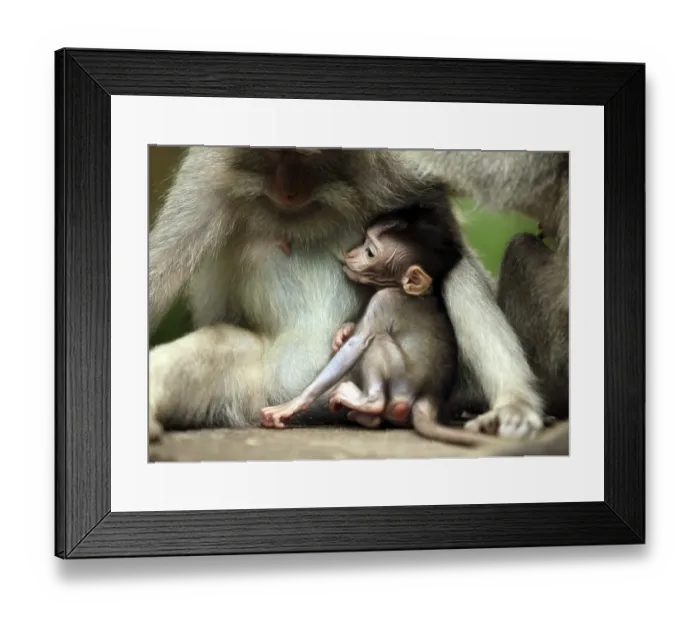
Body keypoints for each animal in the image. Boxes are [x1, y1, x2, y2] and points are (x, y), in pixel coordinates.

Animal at [258, 203, 508, 448]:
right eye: (364, 241)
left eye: (370, 252)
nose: (351, 253)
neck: (404, 289)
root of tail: (430, 397)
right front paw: (344, 331)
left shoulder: (384, 300)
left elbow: (357, 345)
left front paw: (294, 403)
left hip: (402, 384)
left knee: (377, 343)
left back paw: (370, 403)